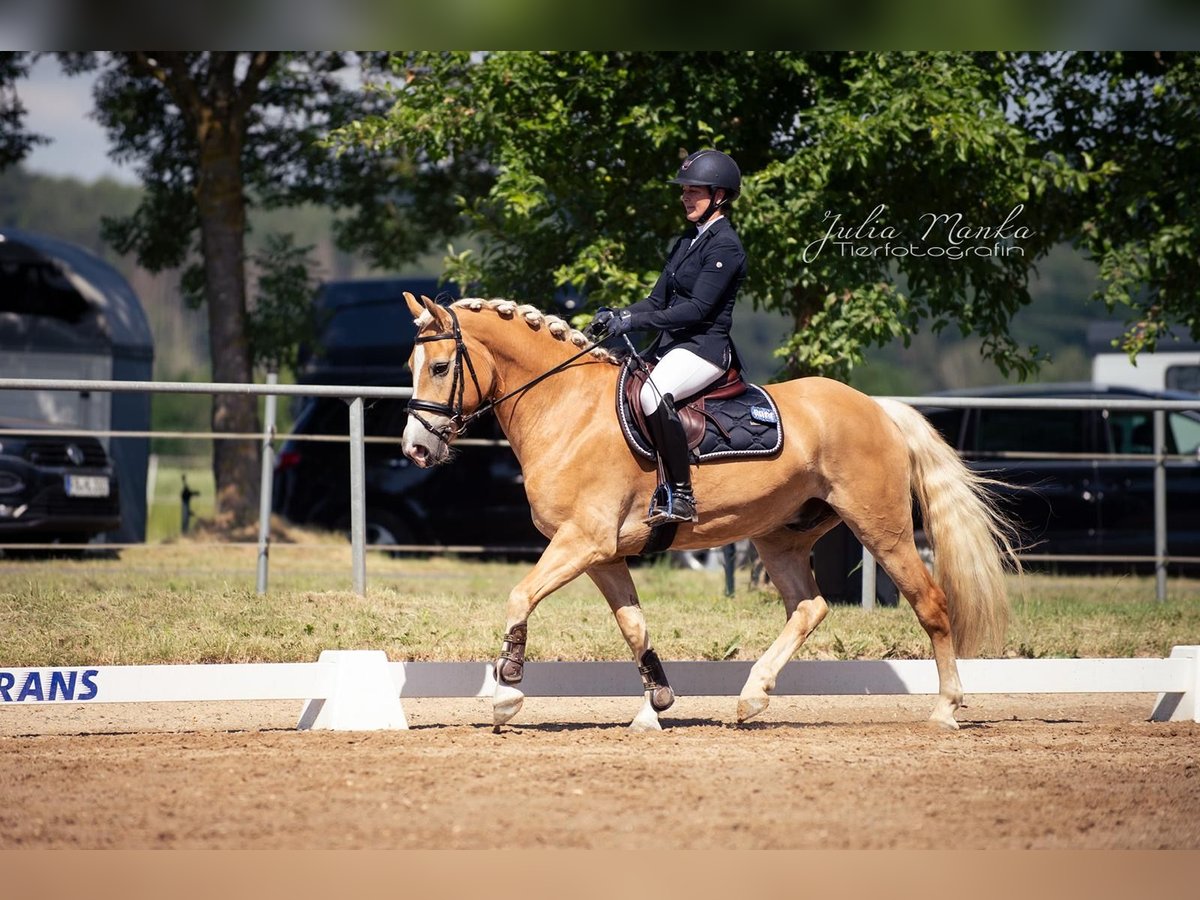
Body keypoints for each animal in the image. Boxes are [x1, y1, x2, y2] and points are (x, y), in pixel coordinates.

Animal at [398, 296, 1017, 734]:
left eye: (441, 366)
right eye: (411, 364)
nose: (416, 449)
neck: (566, 409)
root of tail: (876, 408)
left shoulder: (583, 542)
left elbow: (520, 595)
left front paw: (507, 692)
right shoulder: (601, 555)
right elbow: (633, 624)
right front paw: (655, 705)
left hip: (881, 529)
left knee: (931, 603)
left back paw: (945, 710)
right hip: (780, 537)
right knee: (809, 606)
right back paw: (751, 698)